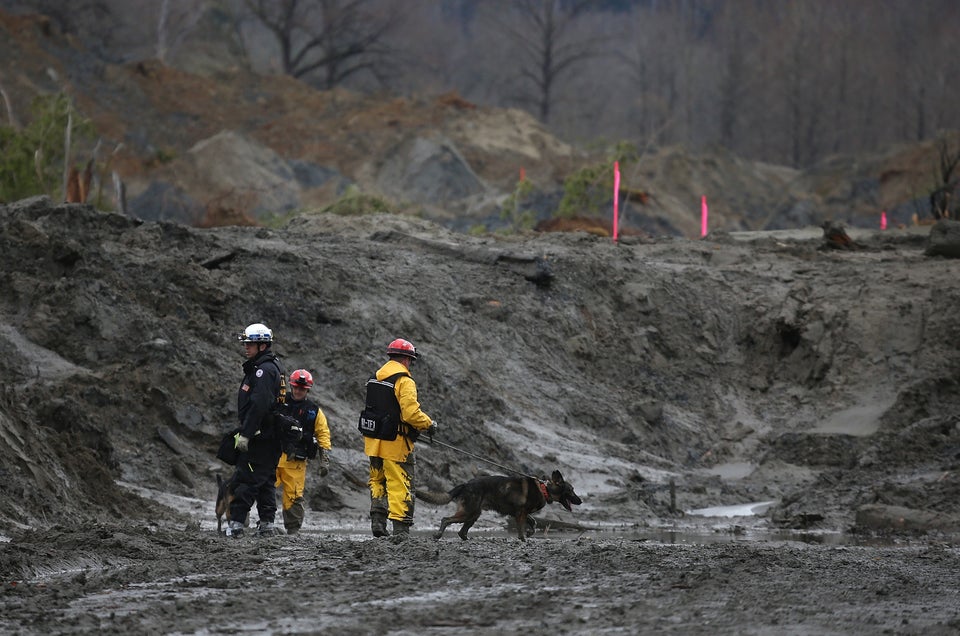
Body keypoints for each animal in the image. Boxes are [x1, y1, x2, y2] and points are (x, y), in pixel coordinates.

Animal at [416, 468, 580, 540]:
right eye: (571, 490)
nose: (581, 501)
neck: (544, 489)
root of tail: (466, 484)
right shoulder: (520, 513)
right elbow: (521, 529)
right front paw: (523, 538)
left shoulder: (521, 513)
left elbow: (533, 523)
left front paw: (529, 533)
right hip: (468, 512)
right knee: (446, 519)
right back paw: (438, 534)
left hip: (474, 514)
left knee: (461, 532)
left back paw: (467, 539)